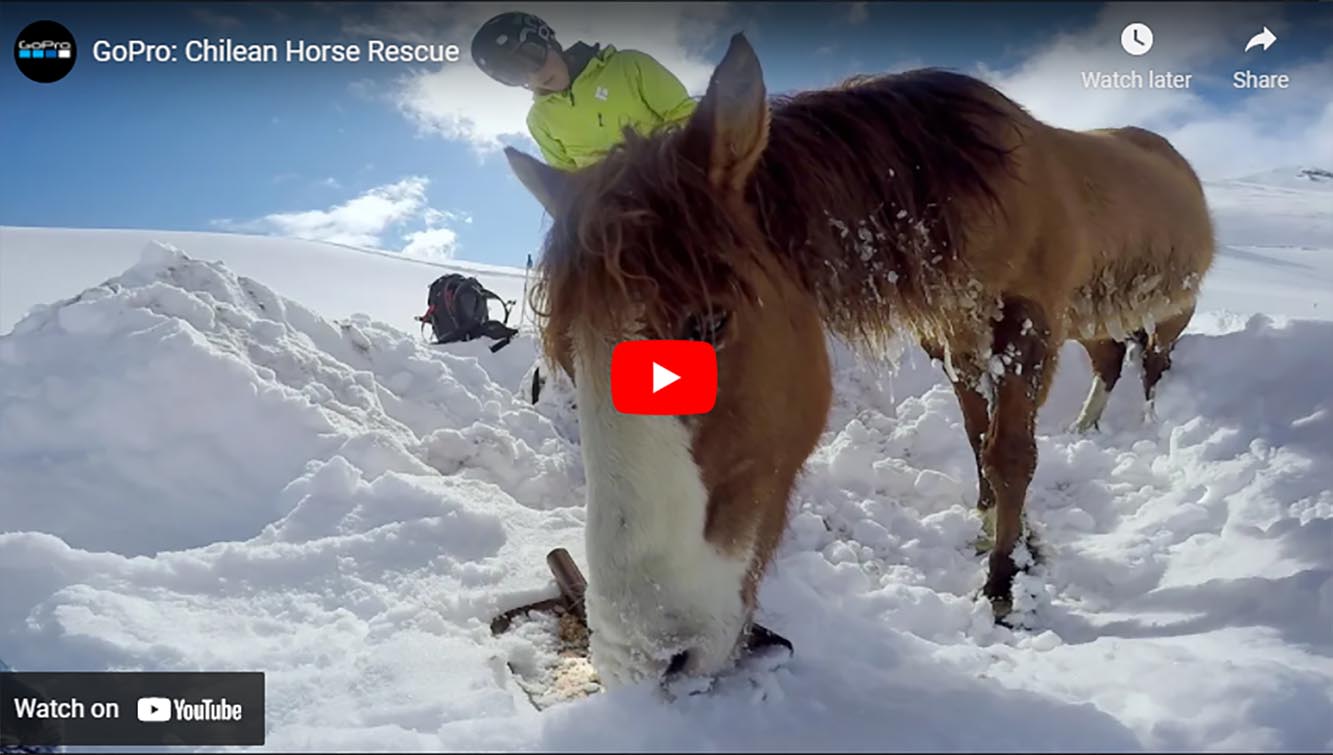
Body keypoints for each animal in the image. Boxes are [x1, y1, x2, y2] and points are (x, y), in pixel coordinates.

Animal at [503, 34, 1215, 688]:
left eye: (707, 323)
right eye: (568, 359)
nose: (646, 658)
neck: (959, 185)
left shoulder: (1026, 326)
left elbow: (1011, 455)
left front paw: (1003, 585)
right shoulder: (953, 332)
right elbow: (976, 436)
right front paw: (992, 526)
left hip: (1169, 309)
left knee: (1153, 365)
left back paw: (1148, 427)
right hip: (1093, 317)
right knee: (1111, 357)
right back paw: (1088, 426)